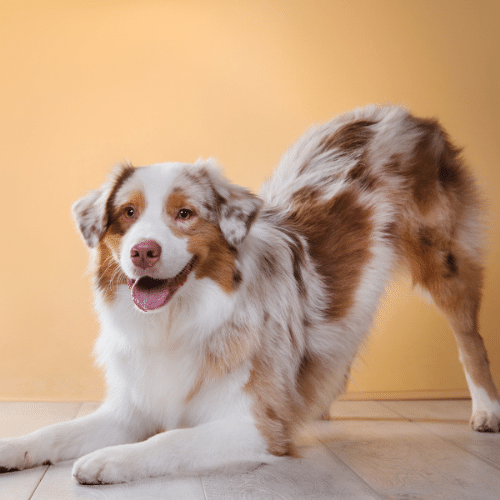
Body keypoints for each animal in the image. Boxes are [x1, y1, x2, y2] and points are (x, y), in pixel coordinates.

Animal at [0, 106, 500, 484]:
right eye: (127, 213)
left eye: (184, 214)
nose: (143, 251)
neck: (174, 322)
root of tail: (406, 113)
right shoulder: (131, 407)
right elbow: (57, 430)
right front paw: (15, 446)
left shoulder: (256, 426)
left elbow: (170, 439)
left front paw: (110, 459)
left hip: (445, 260)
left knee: (470, 341)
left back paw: (486, 411)